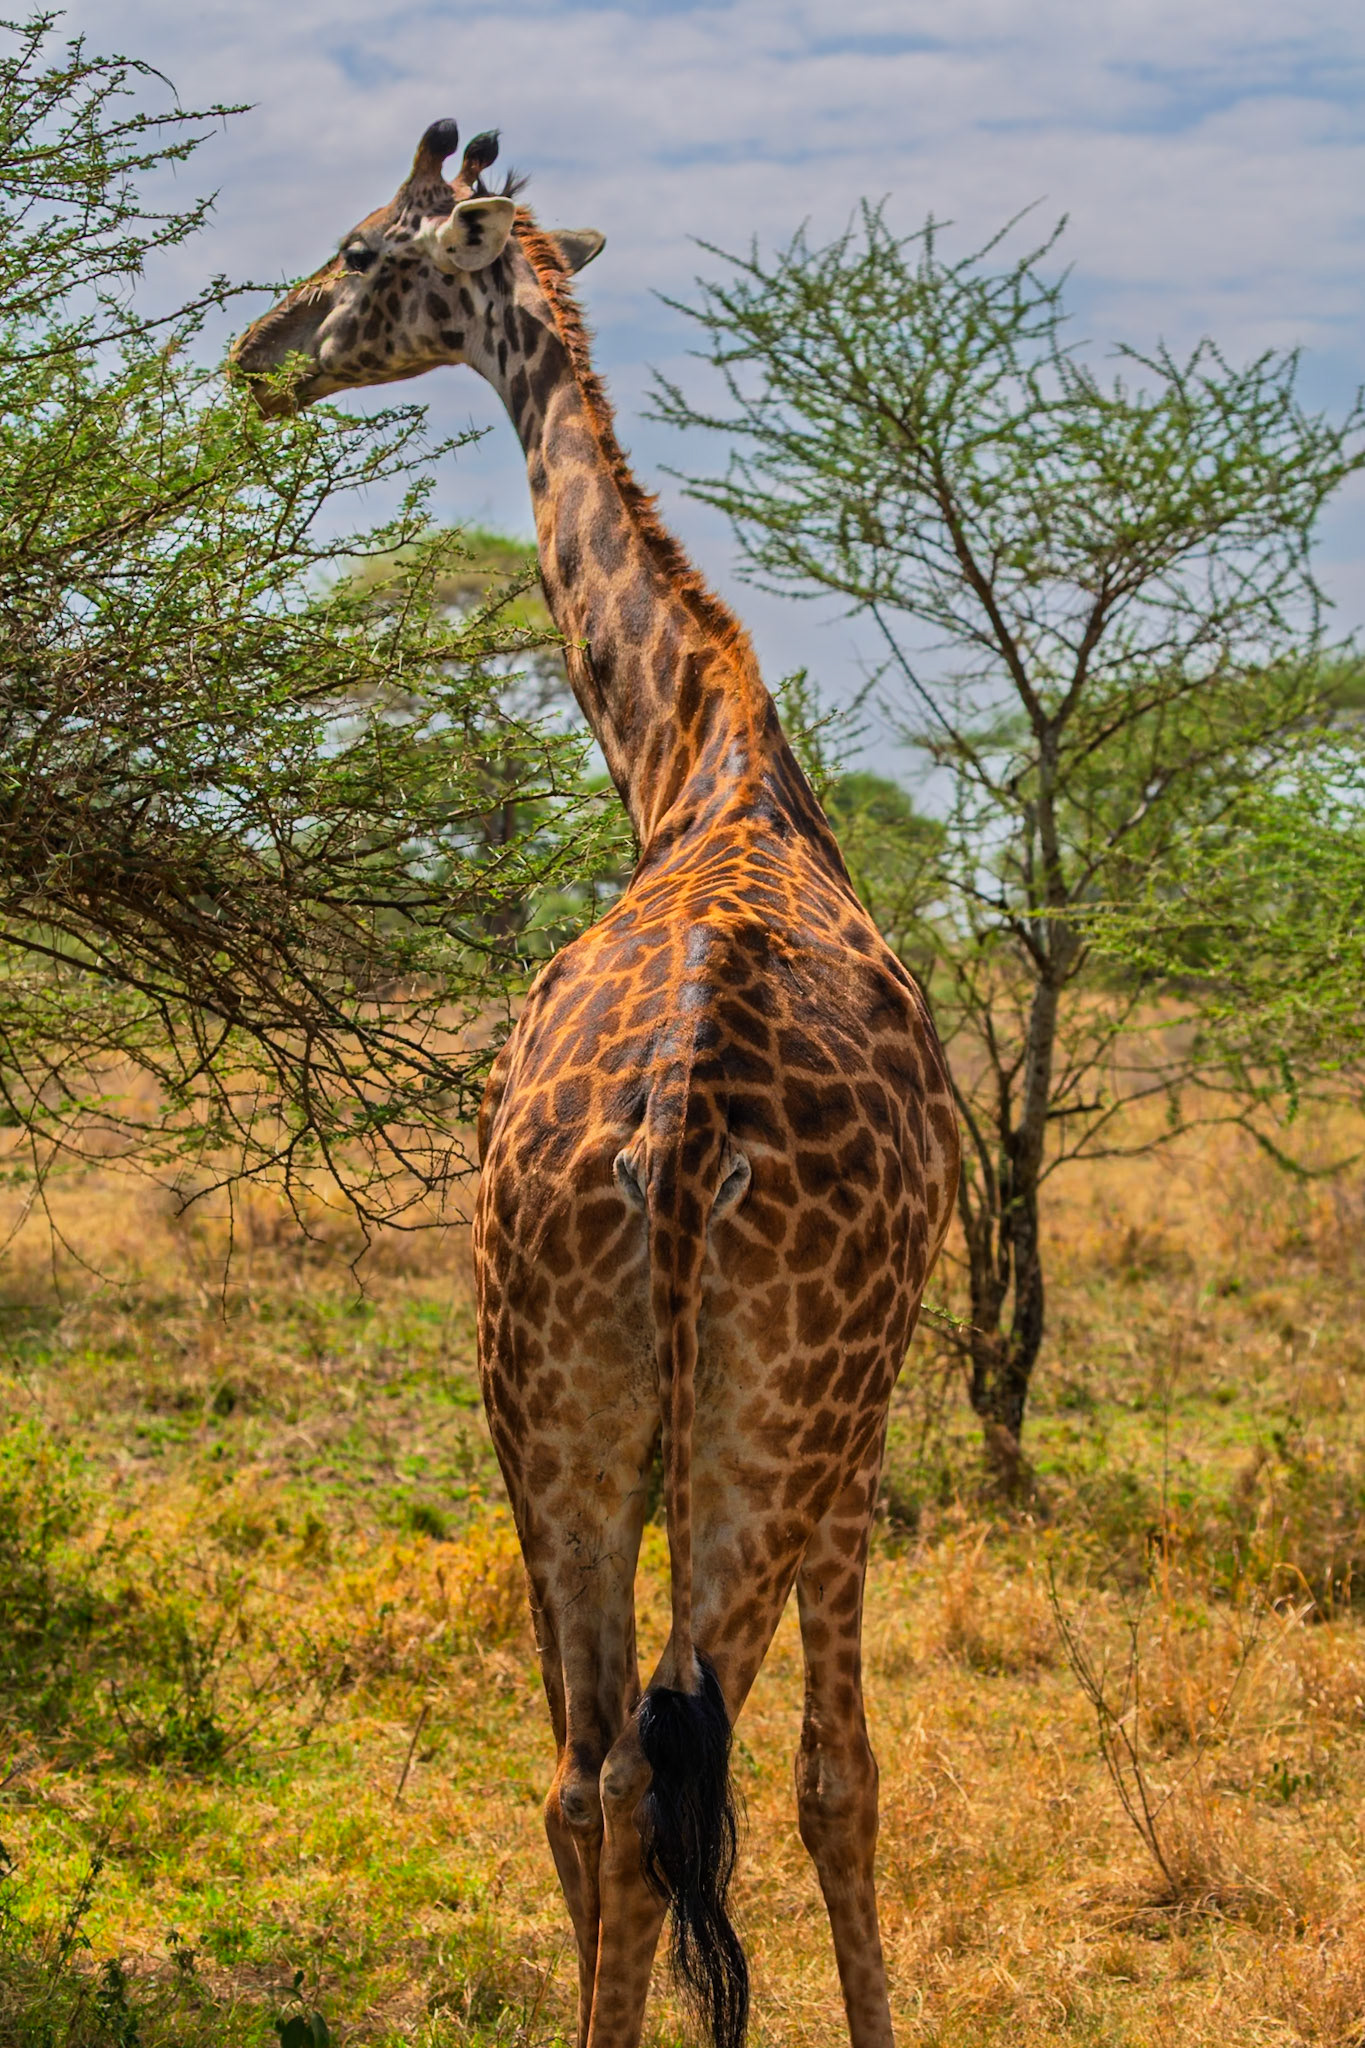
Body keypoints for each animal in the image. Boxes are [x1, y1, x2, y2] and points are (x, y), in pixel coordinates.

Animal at [233, 119, 960, 2048]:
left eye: (359, 248)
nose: (259, 350)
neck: (699, 756)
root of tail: (686, 1126)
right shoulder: (857, 1442)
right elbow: (840, 1782)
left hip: (541, 1403)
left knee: (587, 1771)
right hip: (762, 1439)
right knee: (664, 1766)